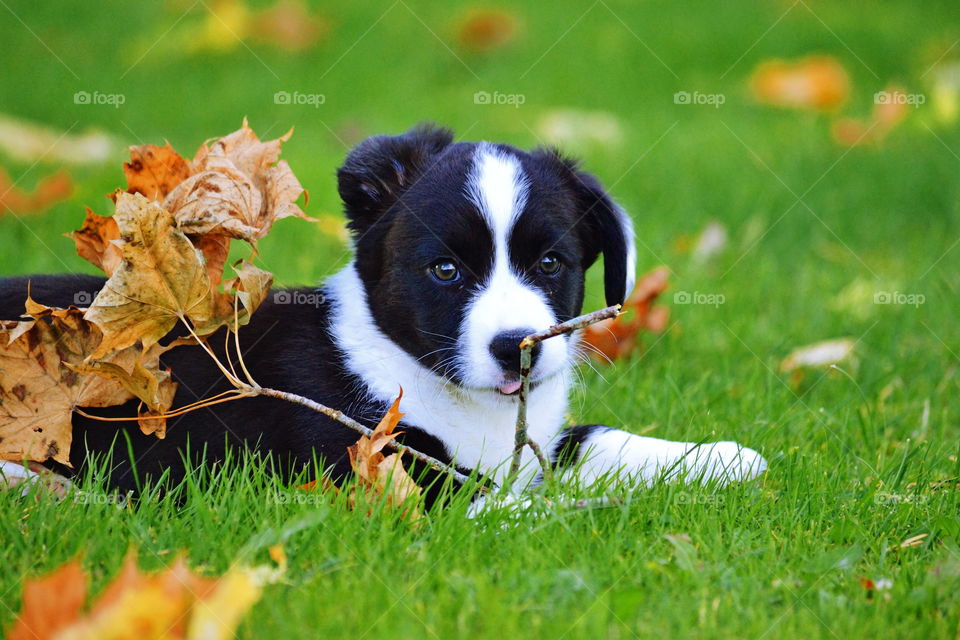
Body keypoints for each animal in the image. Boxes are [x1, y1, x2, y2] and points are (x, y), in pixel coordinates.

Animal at [0, 125, 764, 502]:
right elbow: (513, 502)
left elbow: (585, 442)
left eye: (550, 263)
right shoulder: (381, 473)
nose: (517, 347)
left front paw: (722, 458)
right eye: (445, 271)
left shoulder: (532, 446)